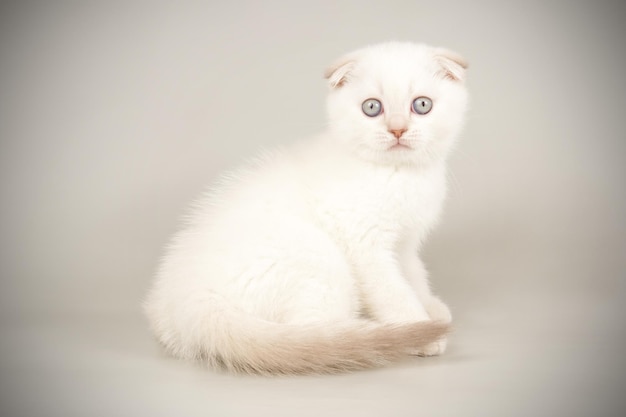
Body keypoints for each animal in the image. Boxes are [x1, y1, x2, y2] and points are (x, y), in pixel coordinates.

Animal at [145, 42, 468, 374]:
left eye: (422, 105)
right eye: (372, 107)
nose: (398, 130)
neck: (399, 175)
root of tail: (192, 302)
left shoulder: (405, 242)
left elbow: (414, 275)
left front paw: (431, 307)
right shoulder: (366, 247)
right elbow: (394, 292)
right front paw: (419, 327)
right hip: (320, 259)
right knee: (316, 334)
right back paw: (370, 333)